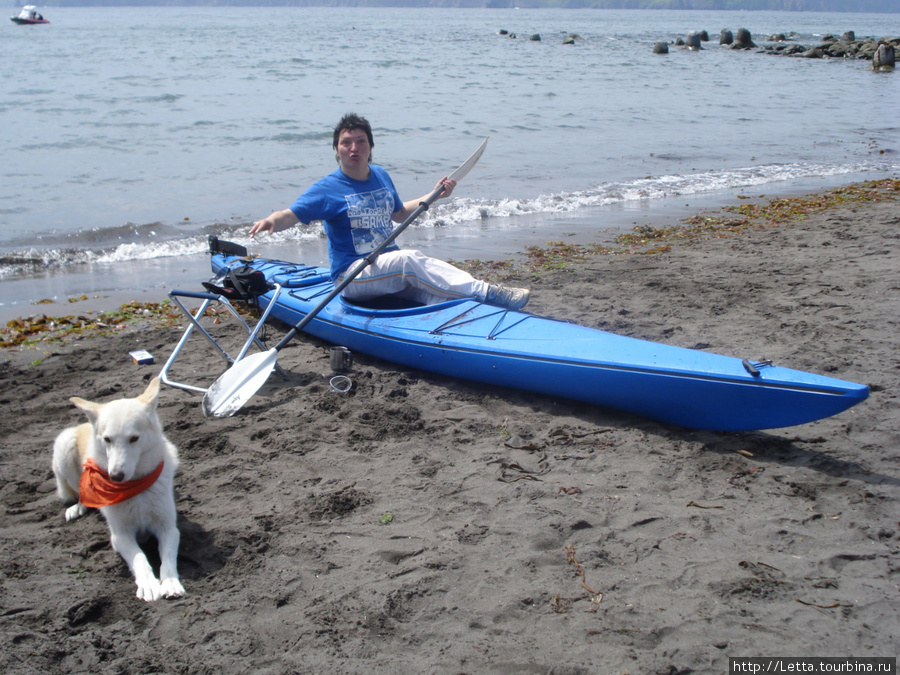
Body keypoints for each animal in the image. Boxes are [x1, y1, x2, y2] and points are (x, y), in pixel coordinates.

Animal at [51, 378, 185, 604]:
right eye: (107, 439)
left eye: (134, 438)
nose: (115, 476)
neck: (135, 487)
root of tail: (85, 424)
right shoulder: (120, 535)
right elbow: (140, 558)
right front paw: (149, 584)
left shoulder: (168, 528)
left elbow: (168, 557)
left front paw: (170, 582)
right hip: (64, 446)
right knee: (80, 493)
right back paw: (77, 507)